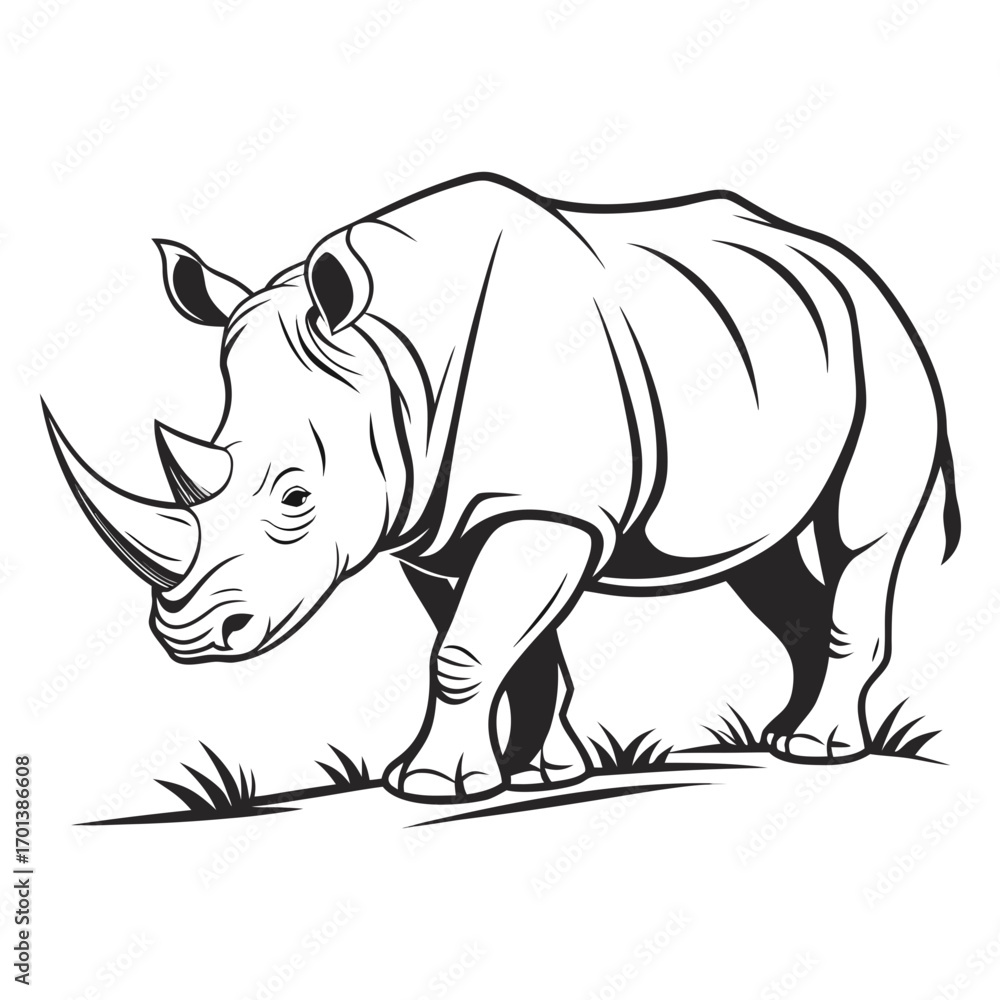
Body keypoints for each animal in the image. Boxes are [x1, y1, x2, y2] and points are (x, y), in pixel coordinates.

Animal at [45, 173, 960, 803]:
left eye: (296, 498)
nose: (188, 637)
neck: (393, 361)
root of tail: (848, 262)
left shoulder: (544, 508)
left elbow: (466, 650)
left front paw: (431, 787)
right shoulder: (439, 526)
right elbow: (517, 650)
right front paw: (545, 774)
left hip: (884, 345)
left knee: (860, 536)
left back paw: (818, 749)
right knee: (759, 557)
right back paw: (778, 737)